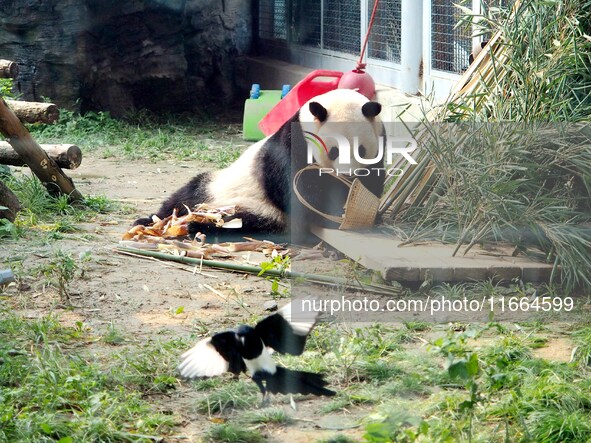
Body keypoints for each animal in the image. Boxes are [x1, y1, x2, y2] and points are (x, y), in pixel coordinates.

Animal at [134, 89, 384, 243]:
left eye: (361, 150)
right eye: (334, 150)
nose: (347, 173)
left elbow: (371, 185)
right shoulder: (292, 143)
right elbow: (290, 188)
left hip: (262, 216)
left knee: (246, 226)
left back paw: (200, 227)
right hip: (214, 186)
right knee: (183, 197)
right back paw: (157, 221)